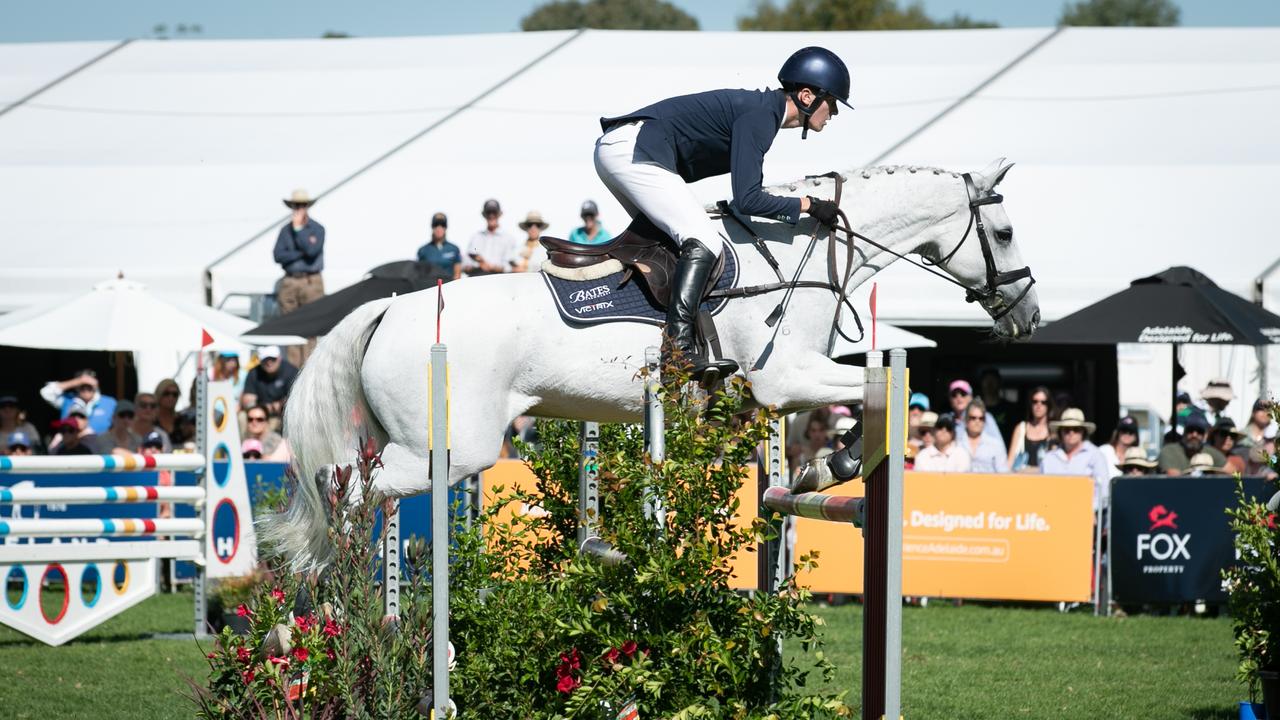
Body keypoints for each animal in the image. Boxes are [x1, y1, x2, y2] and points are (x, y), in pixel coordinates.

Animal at [264, 156, 1034, 566]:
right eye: (1003, 231)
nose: (1028, 316)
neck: (802, 254)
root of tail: (390, 309)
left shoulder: (775, 391)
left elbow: (851, 403)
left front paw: (816, 466)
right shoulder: (783, 376)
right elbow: (886, 391)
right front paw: (836, 464)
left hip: (418, 441)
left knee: (347, 480)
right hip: (452, 449)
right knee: (345, 488)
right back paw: (334, 583)